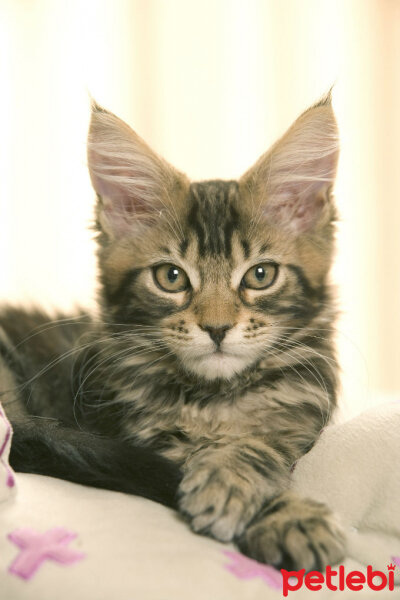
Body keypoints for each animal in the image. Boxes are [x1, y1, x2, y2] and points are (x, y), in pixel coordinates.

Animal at [0, 91, 346, 568]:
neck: (215, 398)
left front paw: (262, 494)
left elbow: (263, 444)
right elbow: (183, 464)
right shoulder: (134, 436)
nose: (217, 328)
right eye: (171, 277)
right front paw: (285, 512)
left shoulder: (301, 424)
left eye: (260, 275)